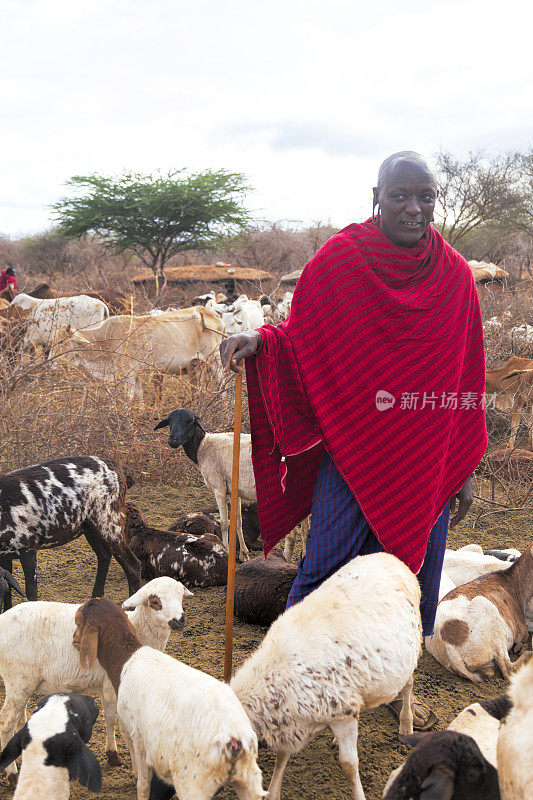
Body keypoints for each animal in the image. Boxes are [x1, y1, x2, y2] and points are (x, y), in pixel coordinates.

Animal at [0, 456, 140, 608]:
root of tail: (120, 469)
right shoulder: (6, 556)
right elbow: (9, 592)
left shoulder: (28, 549)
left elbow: (31, 593)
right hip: (90, 527)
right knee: (104, 556)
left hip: (110, 523)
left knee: (133, 565)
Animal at [0, 580, 190, 780]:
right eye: (155, 602)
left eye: (181, 598)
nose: (180, 620)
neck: (136, 630)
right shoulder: (111, 686)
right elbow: (114, 720)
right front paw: (117, 757)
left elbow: (109, 718)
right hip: (18, 680)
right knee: (6, 722)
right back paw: (11, 773)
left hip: (24, 684)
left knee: (20, 717)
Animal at [51, 304, 223, 400]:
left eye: (61, 341)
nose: (50, 363)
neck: (106, 339)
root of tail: (209, 313)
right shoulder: (137, 374)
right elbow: (139, 397)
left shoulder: (128, 374)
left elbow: (128, 398)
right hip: (196, 365)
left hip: (215, 360)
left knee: (222, 385)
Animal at [231, 552, 422, 800]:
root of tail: (388, 556)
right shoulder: (296, 723)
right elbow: (282, 757)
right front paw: (273, 791)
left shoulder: (343, 714)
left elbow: (349, 765)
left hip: (412, 650)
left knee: (408, 687)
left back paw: (406, 725)